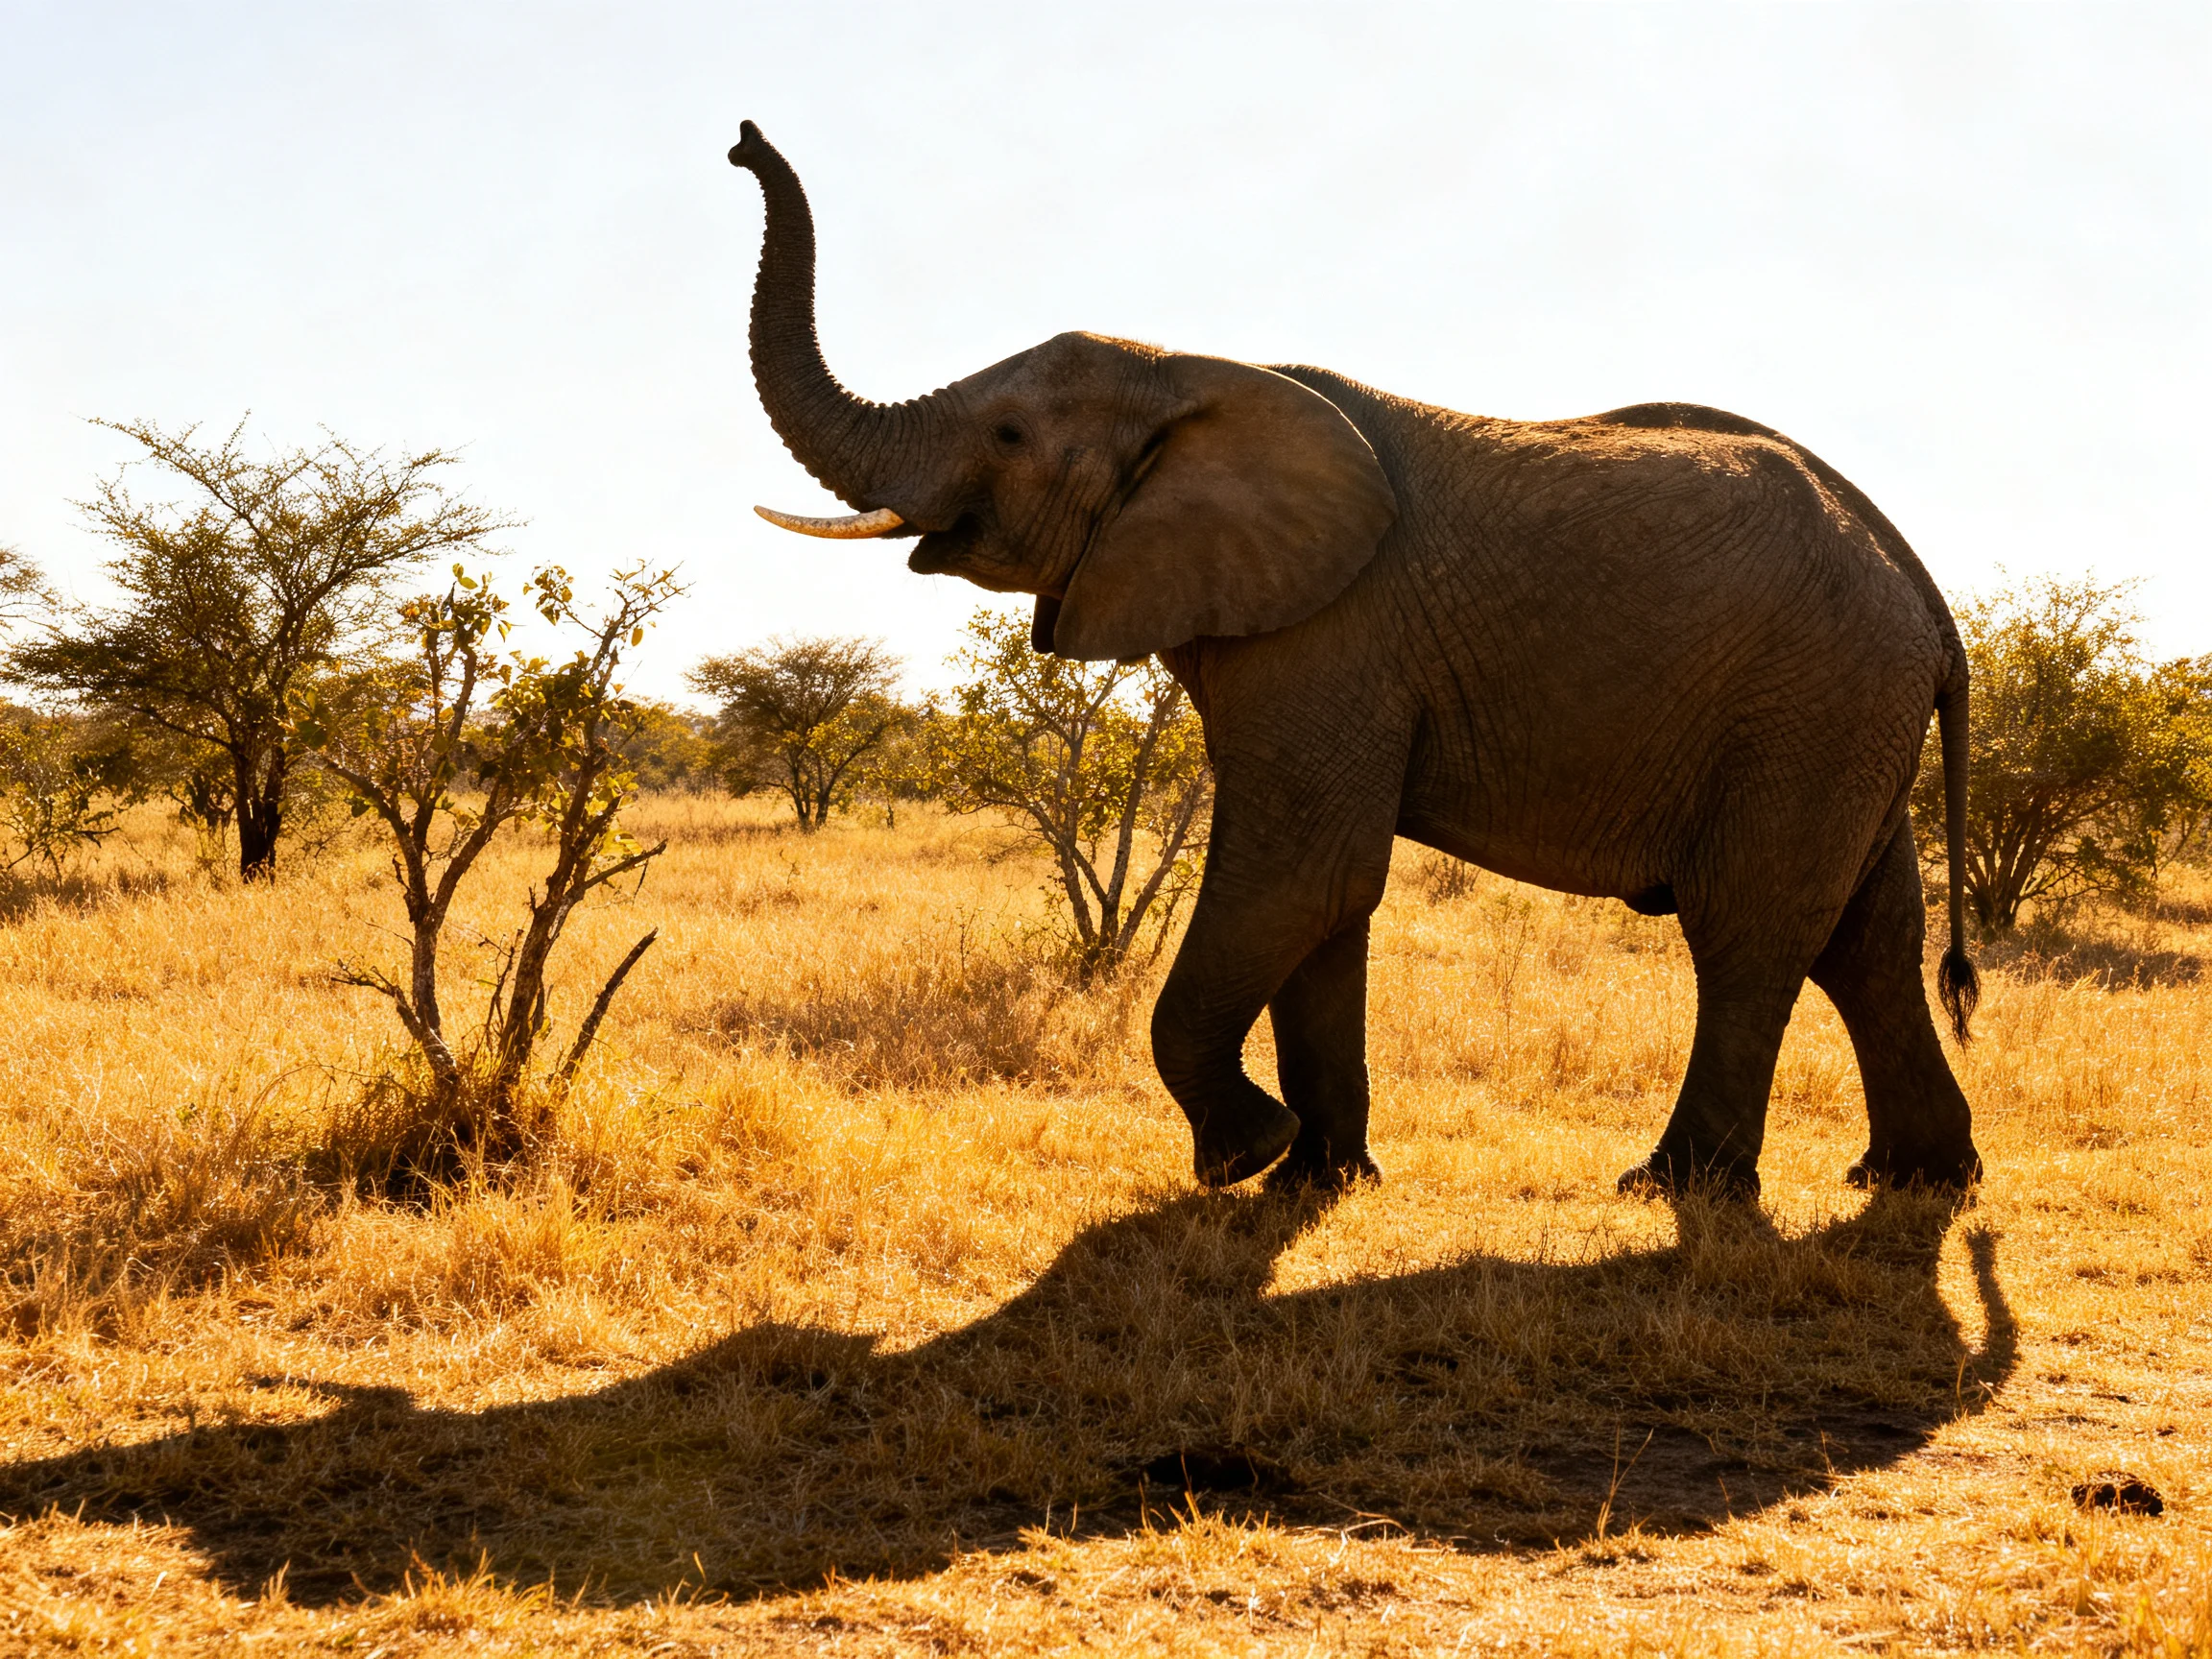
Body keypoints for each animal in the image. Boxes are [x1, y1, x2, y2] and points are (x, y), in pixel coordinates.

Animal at [725, 121, 1983, 1198]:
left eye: (1008, 436)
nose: (740, 142)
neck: (1191, 371)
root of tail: (1926, 598)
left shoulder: (1333, 635)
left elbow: (1305, 870)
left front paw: (1243, 1155)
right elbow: (1324, 899)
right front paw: (1317, 1175)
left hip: (1809, 706)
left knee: (1750, 930)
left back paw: (1673, 1187)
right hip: (1847, 715)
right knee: (1869, 940)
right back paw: (1915, 1178)